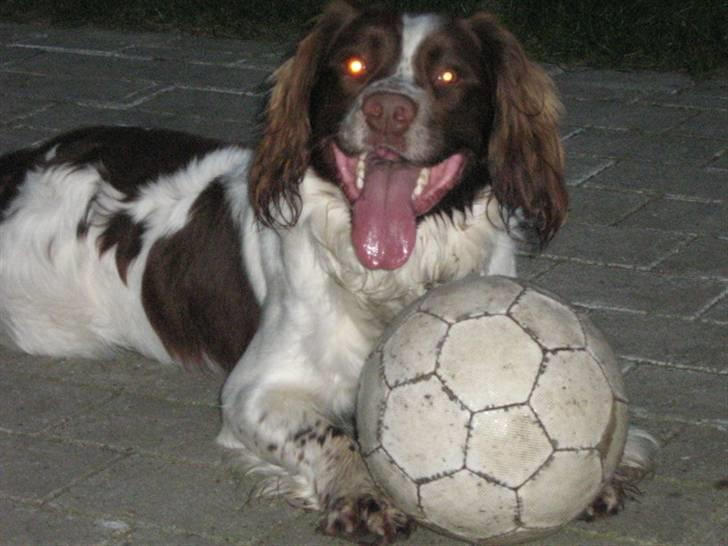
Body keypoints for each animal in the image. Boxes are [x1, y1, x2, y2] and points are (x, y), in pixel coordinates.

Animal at [0, 1, 656, 540]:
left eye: (448, 76)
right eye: (356, 64)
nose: (388, 109)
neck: (391, 279)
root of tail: (23, 163)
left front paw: (603, 474)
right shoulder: (253, 391)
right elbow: (334, 433)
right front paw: (361, 493)